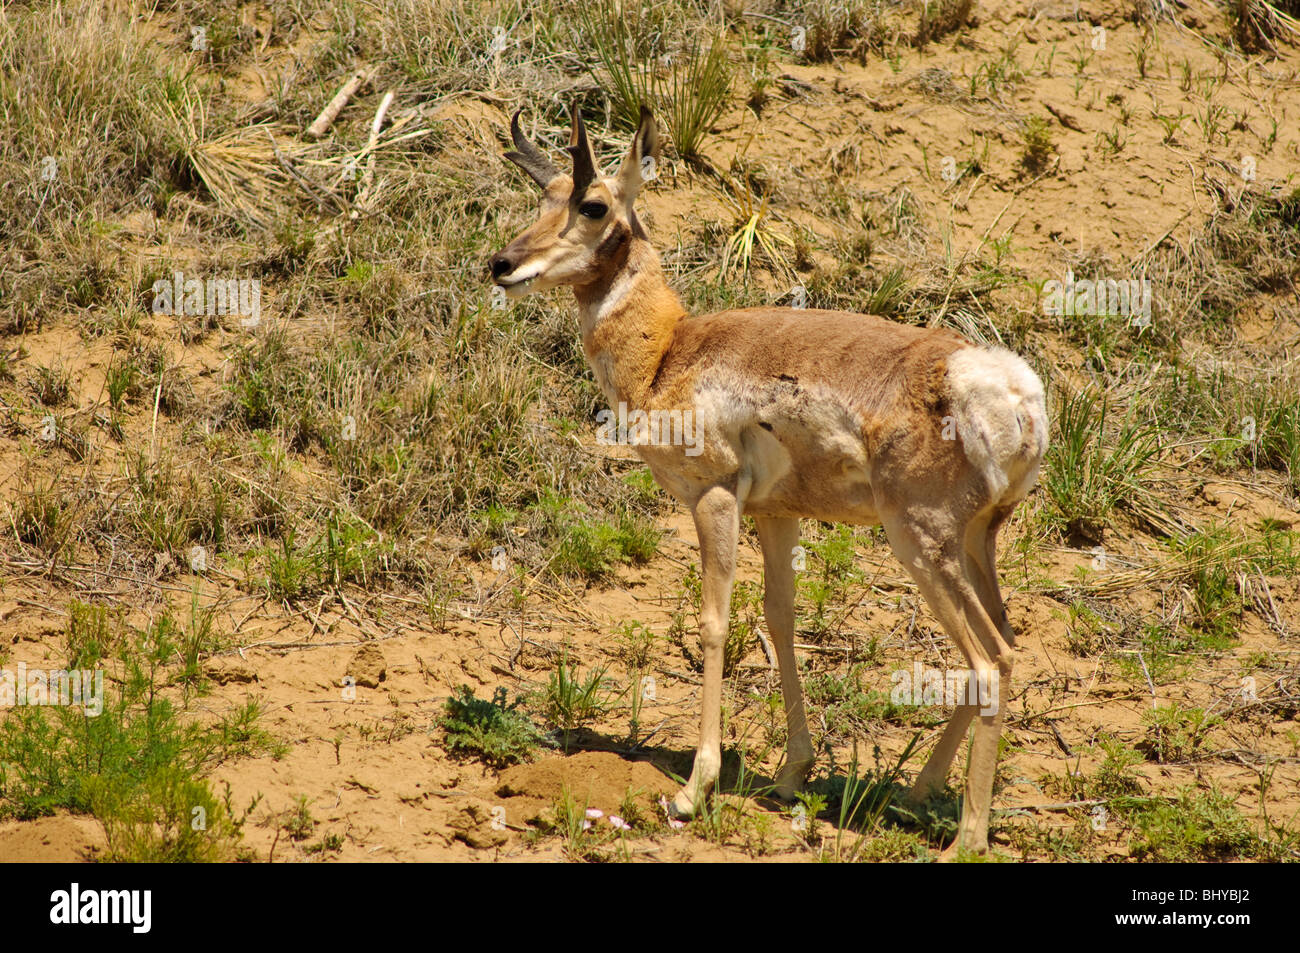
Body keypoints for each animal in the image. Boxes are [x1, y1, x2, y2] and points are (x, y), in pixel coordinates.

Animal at [488, 104, 1048, 856]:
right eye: (543, 194)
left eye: (593, 203)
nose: (503, 263)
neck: (670, 349)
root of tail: (1006, 387)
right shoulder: (777, 514)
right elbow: (780, 618)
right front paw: (790, 773)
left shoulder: (716, 498)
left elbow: (715, 622)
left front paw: (693, 789)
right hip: (974, 545)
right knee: (1006, 648)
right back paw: (916, 793)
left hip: (919, 541)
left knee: (992, 660)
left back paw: (966, 837)